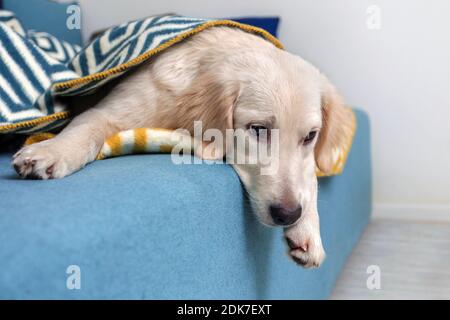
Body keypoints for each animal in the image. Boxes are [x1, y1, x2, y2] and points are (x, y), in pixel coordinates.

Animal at [12, 26, 354, 268]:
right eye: (258, 130)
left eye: (310, 137)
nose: (288, 214)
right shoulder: (109, 113)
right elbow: (86, 129)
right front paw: (52, 150)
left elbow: (309, 177)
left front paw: (308, 230)